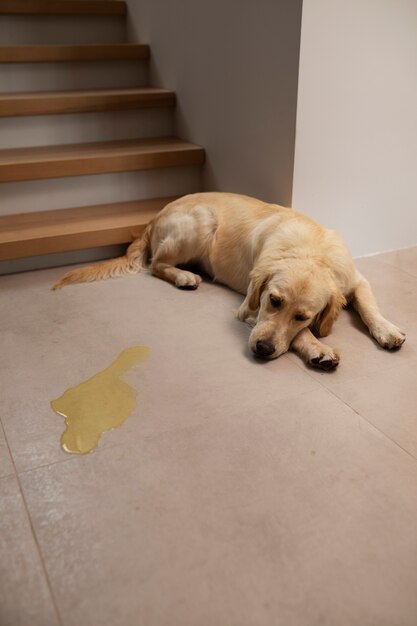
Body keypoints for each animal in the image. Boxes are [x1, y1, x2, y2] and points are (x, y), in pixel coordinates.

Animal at [53, 190, 404, 366]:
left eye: (303, 315)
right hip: (202, 223)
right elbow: (298, 335)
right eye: (273, 300)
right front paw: (318, 348)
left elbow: (369, 307)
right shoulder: (248, 307)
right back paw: (184, 276)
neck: (310, 250)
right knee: (156, 264)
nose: (263, 348)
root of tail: (155, 216)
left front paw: (387, 330)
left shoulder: (356, 279)